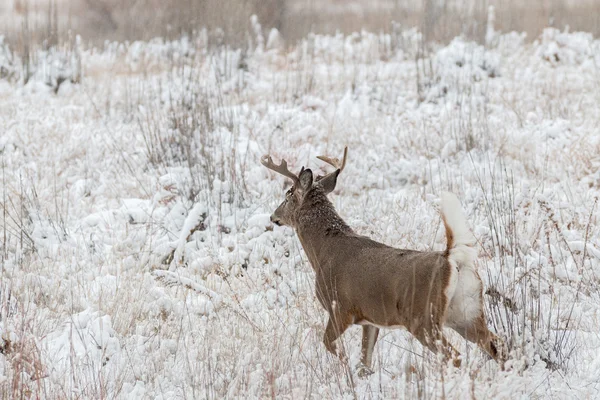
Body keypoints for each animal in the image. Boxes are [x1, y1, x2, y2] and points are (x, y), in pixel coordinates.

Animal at [262, 146, 506, 376]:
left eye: (288, 195)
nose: (273, 216)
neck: (323, 251)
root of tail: (451, 259)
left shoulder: (339, 308)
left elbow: (333, 348)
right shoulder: (370, 319)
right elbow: (365, 361)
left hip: (423, 318)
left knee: (454, 356)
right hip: (466, 312)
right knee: (496, 344)